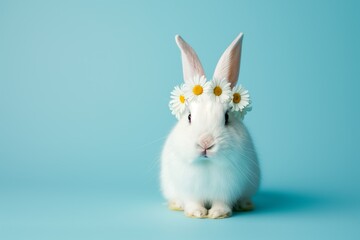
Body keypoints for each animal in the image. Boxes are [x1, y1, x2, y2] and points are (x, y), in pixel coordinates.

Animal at [160, 33, 258, 219]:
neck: (207, 165)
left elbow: (222, 202)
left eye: (226, 117)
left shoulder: (226, 190)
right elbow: (193, 202)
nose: (205, 143)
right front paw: (197, 213)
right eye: (189, 117)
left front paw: (217, 214)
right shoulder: (189, 190)